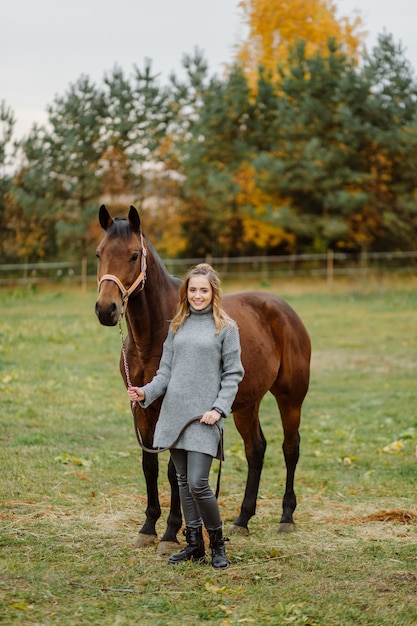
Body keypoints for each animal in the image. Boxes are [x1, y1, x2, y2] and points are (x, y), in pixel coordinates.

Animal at [94, 204, 308, 552]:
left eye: (134, 255)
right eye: (99, 253)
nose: (106, 309)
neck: (154, 334)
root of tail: (282, 308)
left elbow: (173, 471)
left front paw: (170, 533)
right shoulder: (142, 408)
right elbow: (150, 466)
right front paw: (148, 527)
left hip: (290, 398)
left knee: (290, 448)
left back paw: (286, 517)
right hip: (246, 403)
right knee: (256, 449)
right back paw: (242, 520)